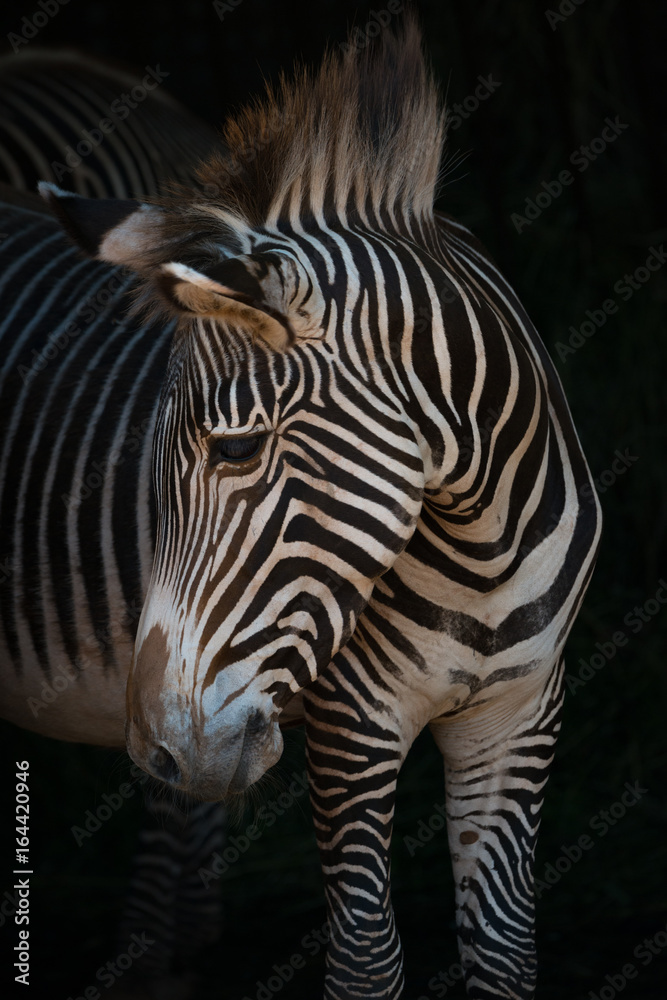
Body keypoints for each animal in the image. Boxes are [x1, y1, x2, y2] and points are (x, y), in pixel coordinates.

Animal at [4, 20, 602, 1000]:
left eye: (235, 451)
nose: (157, 748)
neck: (483, 551)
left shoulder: (518, 717)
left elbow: (505, 953)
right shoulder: (348, 727)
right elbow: (366, 961)